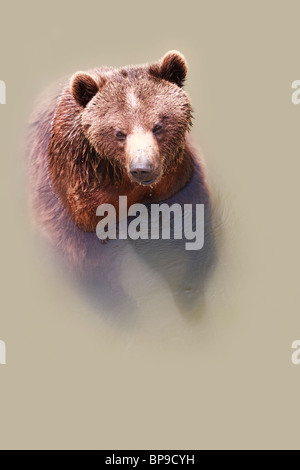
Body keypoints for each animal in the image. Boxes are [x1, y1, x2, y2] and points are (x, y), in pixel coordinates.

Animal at [27, 50, 213, 312]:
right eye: (119, 133)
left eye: (158, 125)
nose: (142, 168)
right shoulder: (78, 194)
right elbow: (83, 258)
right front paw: (121, 304)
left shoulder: (176, 180)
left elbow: (192, 222)